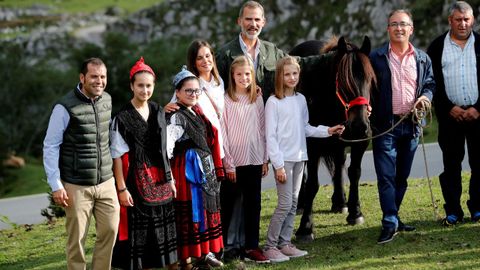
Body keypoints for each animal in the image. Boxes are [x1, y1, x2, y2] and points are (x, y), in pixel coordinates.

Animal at [290, 36, 376, 240]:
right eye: (343, 81)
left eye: (369, 80)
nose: (360, 126)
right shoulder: (311, 146)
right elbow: (312, 184)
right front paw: (306, 227)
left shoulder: (361, 141)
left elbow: (354, 172)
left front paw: (355, 212)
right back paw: (300, 204)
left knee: (339, 163)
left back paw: (340, 202)